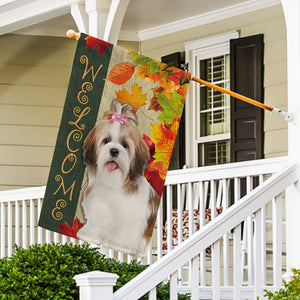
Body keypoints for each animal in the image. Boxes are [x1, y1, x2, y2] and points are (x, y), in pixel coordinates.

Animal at [78, 100, 162, 255]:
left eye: (125, 145)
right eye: (106, 140)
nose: (114, 151)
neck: (114, 183)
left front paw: (120, 245)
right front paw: (90, 234)